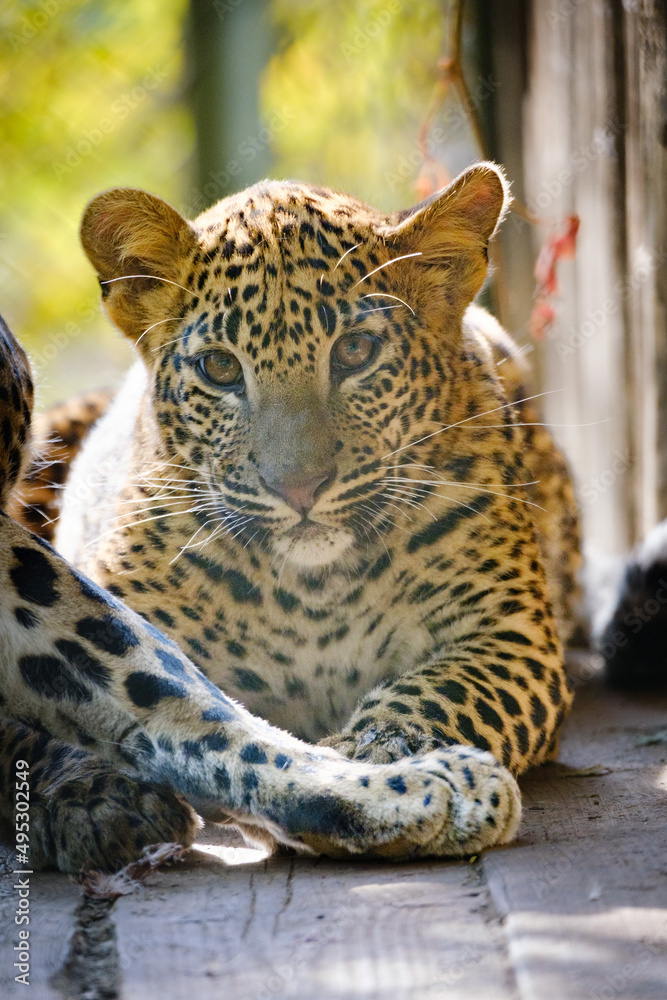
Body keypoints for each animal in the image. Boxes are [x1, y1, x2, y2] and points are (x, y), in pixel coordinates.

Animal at [0, 161, 581, 874]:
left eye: (356, 351)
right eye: (220, 367)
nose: (299, 487)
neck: (314, 590)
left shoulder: (508, 632)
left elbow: (443, 690)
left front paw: (372, 756)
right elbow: (75, 713)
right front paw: (96, 793)